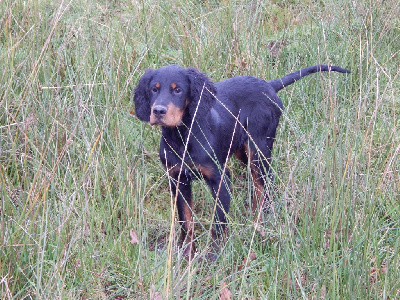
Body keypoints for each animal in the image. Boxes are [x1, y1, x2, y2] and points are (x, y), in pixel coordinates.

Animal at [134, 63, 350, 258]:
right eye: (154, 89)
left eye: (178, 90)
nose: (158, 111)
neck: (182, 137)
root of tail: (268, 85)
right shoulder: (178, 180)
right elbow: (185, 221)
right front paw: (185, 254)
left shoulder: (220, 178)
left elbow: (219, 222)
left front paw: (214, 255)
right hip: (243, 151)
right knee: (258, 185)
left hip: (259, 149)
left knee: (266, 183)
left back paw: (262, 220)